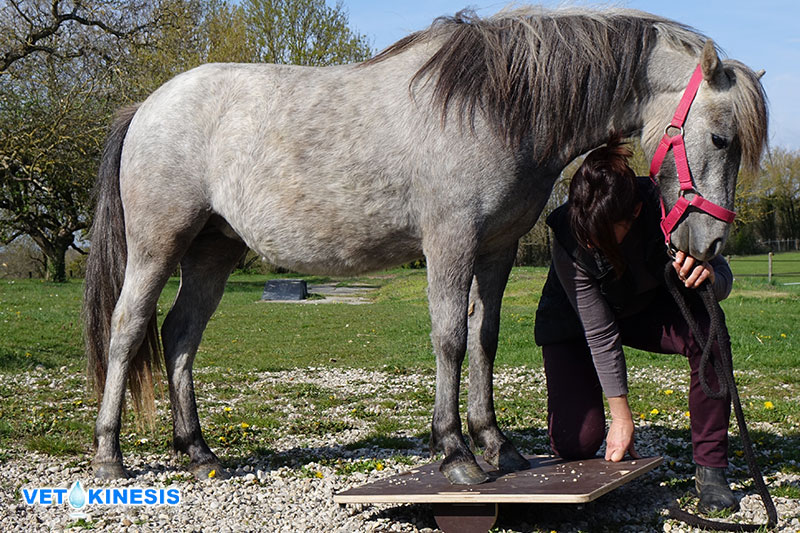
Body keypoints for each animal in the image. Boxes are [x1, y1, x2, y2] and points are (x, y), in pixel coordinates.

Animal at [84, 6, 764, 484]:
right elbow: (450, 338)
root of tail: (146, 105)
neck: (496, 109)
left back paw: (198, 453)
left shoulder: (495, 250)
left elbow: (485, 337)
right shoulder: (449, 242)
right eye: (721, 138)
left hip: (213, 251)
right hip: (158, 244)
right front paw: (455, 452)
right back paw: (109, 457)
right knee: (128, 328)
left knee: (179, 335)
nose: (709, 245)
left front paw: (496, 444)